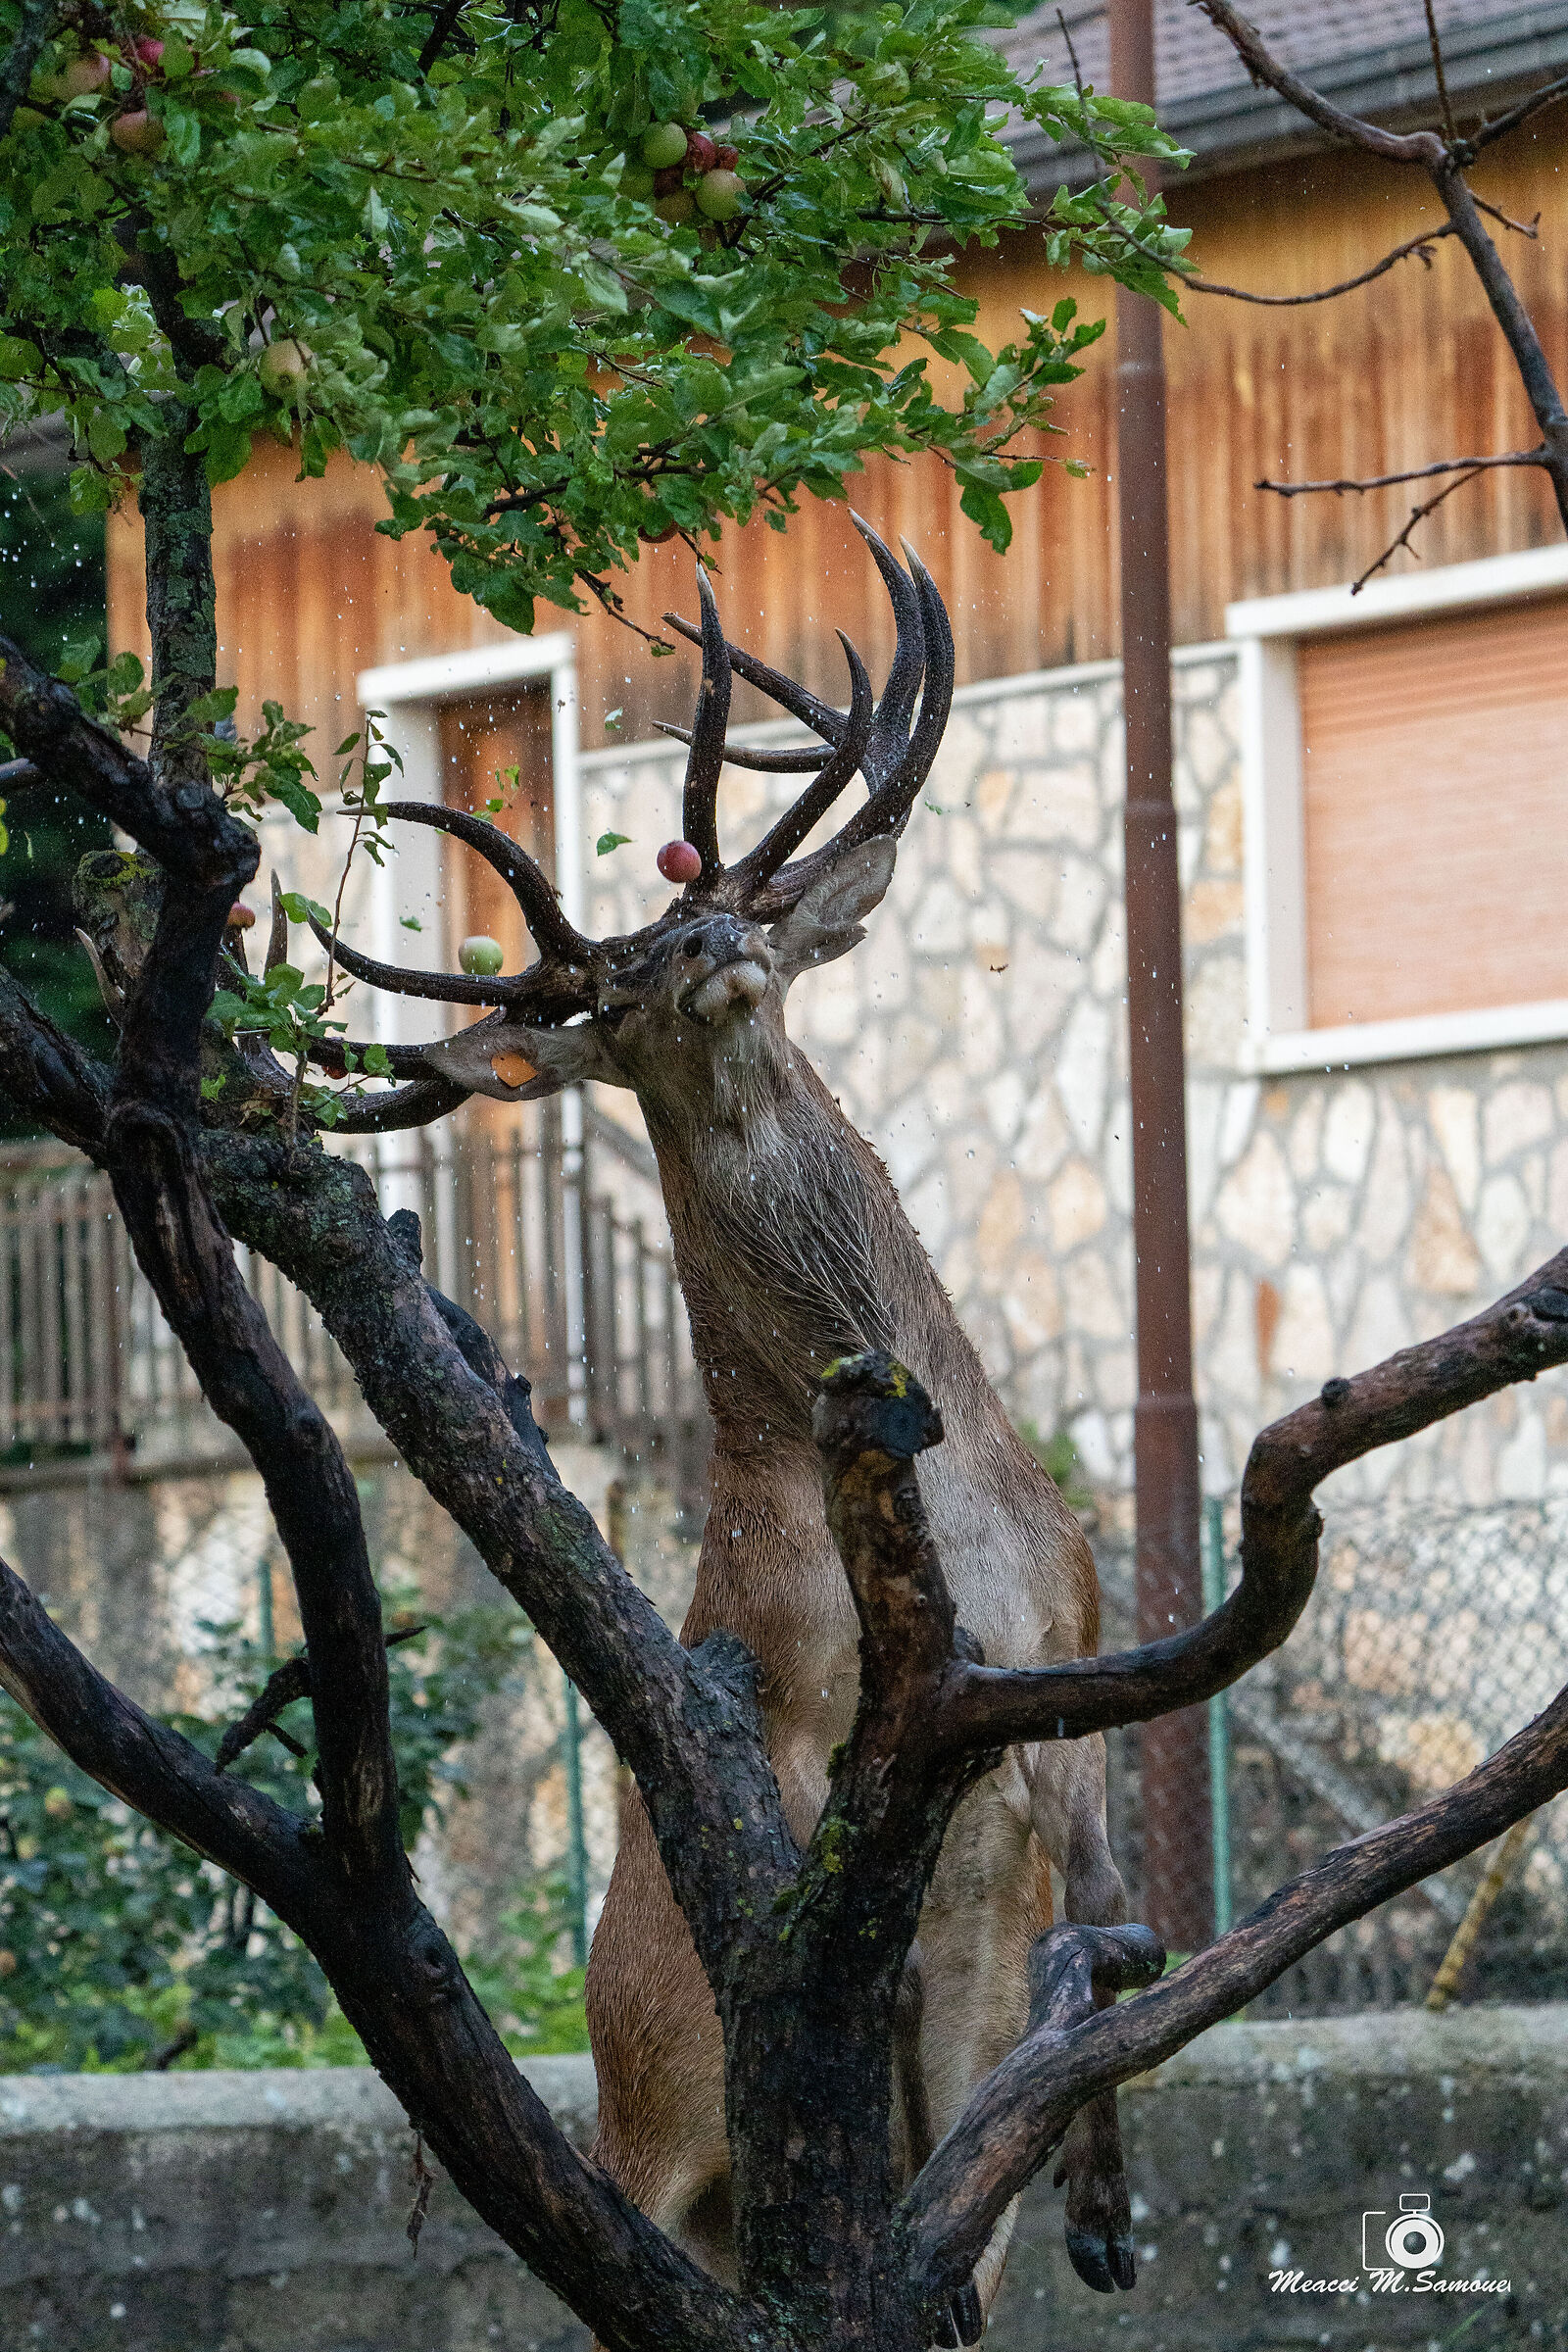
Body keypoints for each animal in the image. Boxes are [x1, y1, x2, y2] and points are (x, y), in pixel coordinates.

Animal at [311, 523, 1136, 2340]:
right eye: (613, 984)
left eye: (725, 903)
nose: (700, 951)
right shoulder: (822, 1716)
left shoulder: (1071, 1648)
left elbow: (1120, 1928)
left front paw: (1115, 2220)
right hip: (649, 2151)